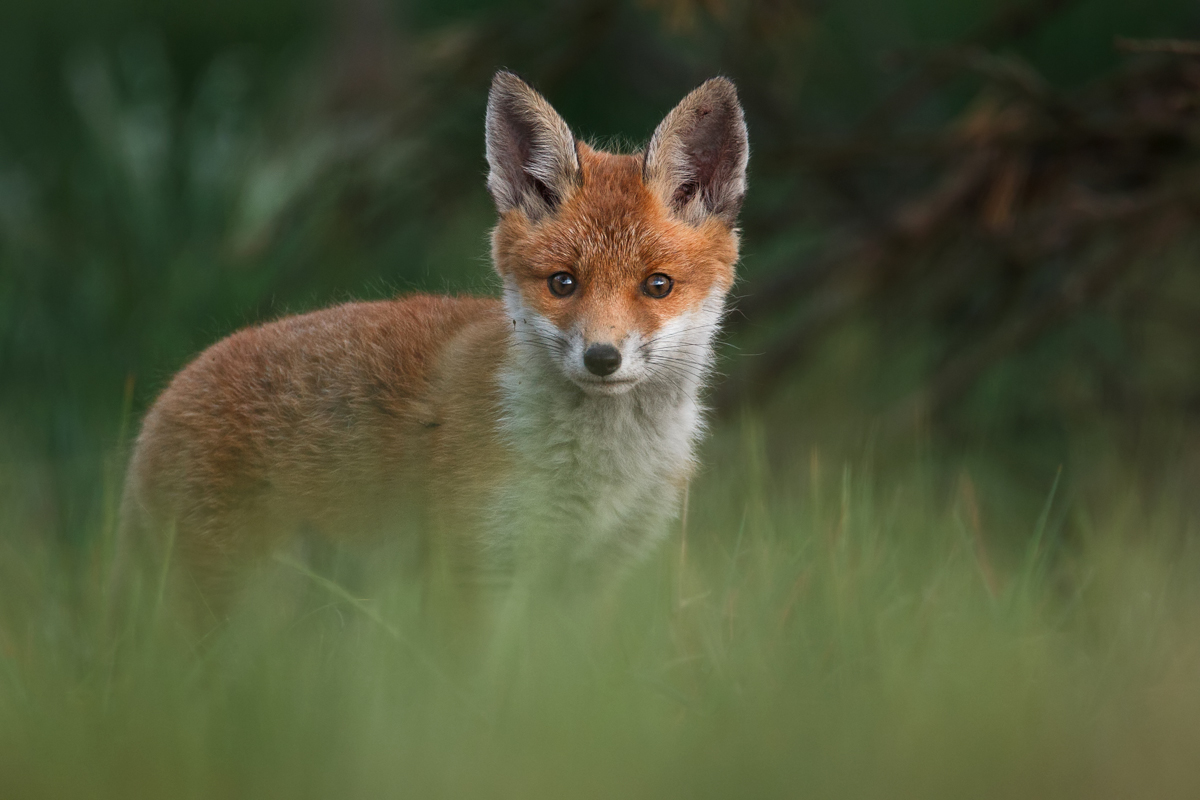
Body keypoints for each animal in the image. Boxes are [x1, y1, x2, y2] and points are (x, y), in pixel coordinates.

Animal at [117, 71, 744, 609]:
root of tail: (158, 407)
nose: (602, 358)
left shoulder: (596, 580)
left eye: (657, 285)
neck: (603, 473)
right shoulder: (474, 567)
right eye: (562, 283)